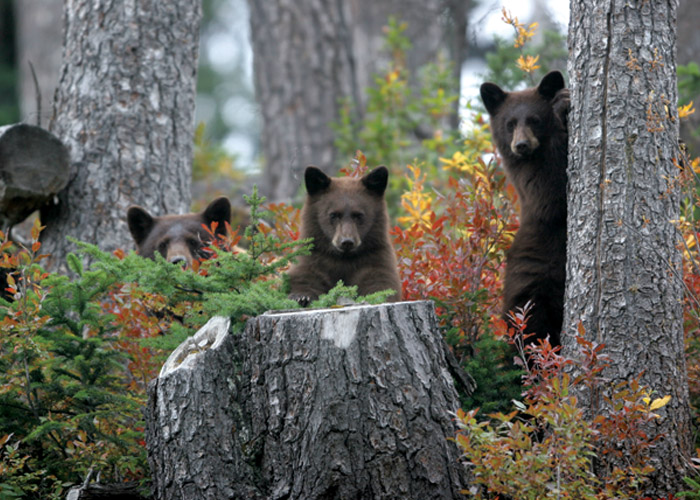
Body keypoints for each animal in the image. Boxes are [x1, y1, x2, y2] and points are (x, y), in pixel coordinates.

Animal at [288, 165, 402, 304]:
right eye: (333, 215)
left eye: (358, 215)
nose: (347, 241)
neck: (343, 259)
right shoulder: (313, 255)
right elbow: (306, 275)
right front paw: (301, 296)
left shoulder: (376, 257)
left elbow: (381, 282)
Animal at [478, 70, 572, 348]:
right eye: (510, 123)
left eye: (534, 120)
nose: (520, 145)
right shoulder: (525, 177)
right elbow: (550, 194)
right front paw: (560, 106)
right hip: (529, 284)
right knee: (530, 329)